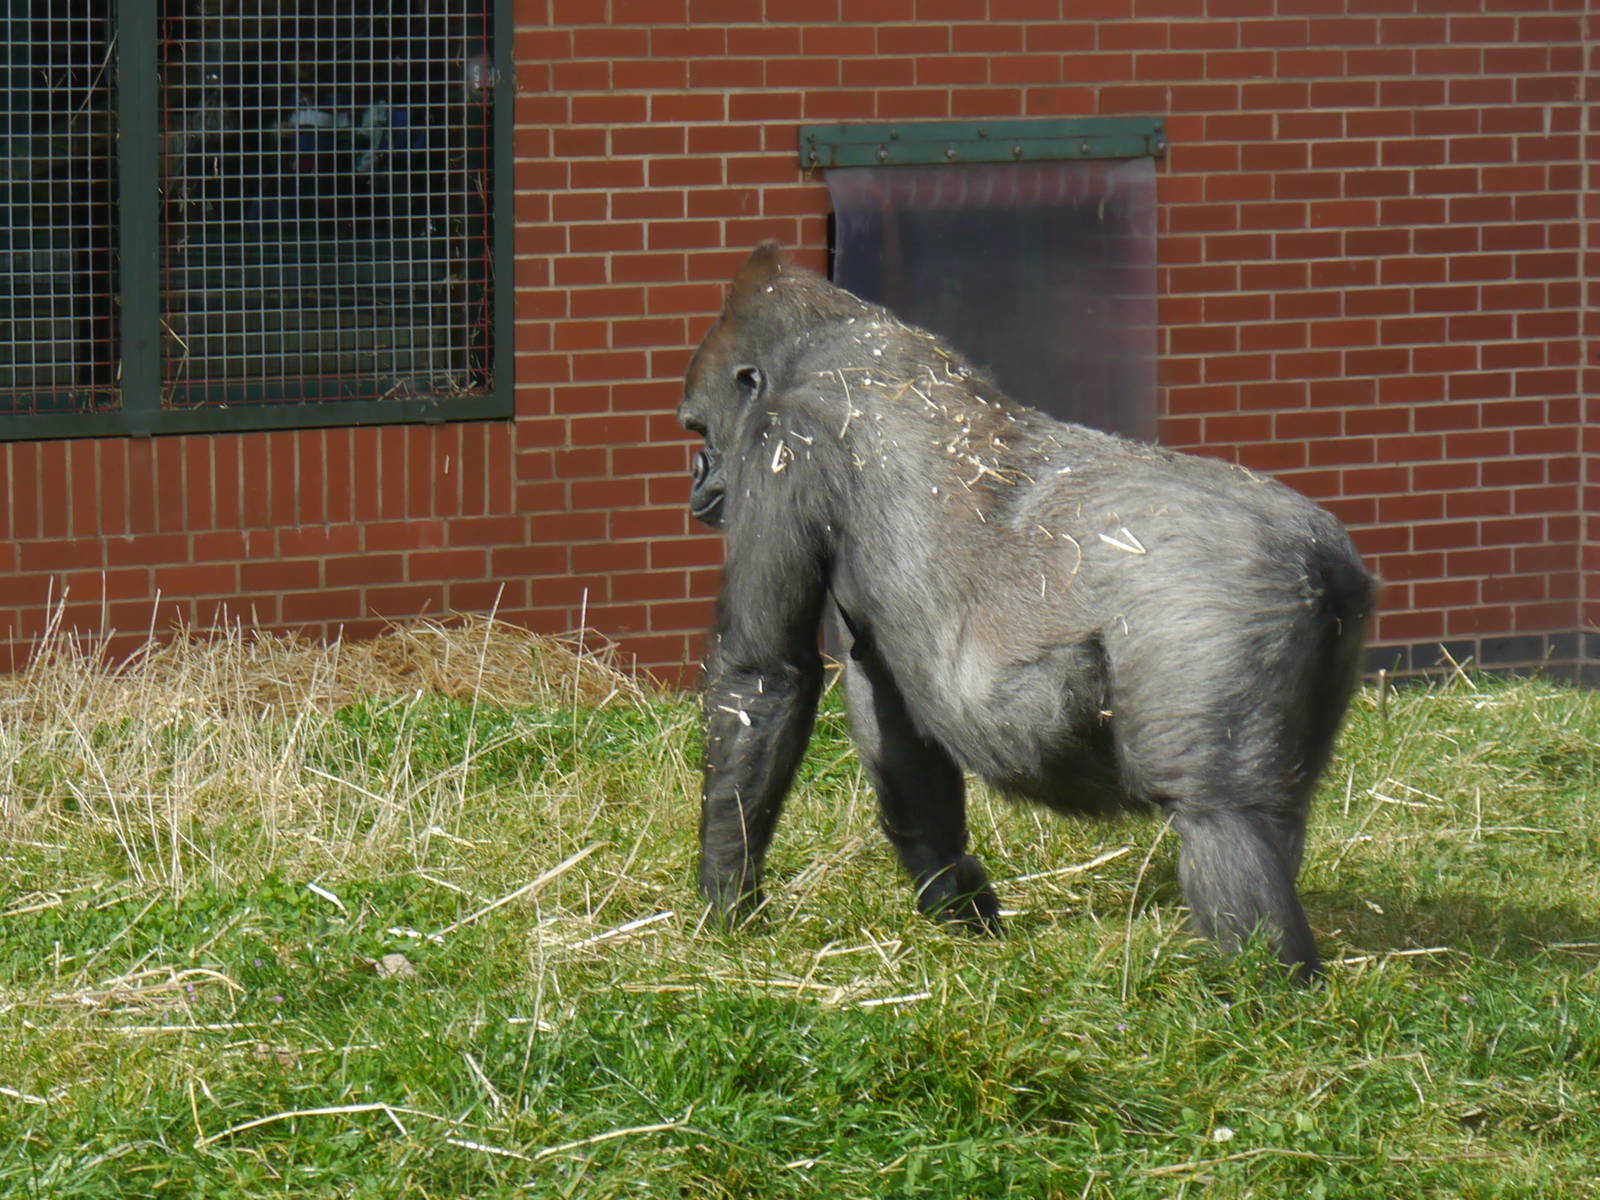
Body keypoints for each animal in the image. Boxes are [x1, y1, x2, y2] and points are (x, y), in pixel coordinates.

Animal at [679, 242, 1373, 983]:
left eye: (699, 426)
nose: (697, 473)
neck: (828, 333)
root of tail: (1321, 560)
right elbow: (890, 710)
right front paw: (958, 901)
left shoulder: (782, 442)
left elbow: (764, 675)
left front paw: (725, 901)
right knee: (1273, 816)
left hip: (1211, 610)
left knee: (1224, 820)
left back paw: (1256, 986)